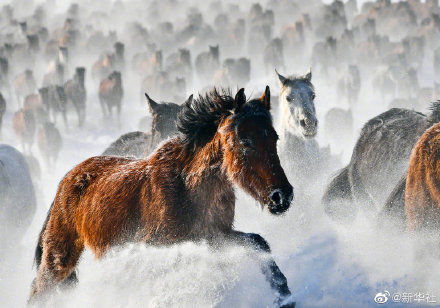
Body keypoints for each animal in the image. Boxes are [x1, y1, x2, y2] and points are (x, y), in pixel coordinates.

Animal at [29, 86, 294, 306]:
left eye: (275, 137)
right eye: (245, 141)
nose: (282, 196)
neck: (187, 186)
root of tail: (67, 179)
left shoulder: (213, 236)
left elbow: (258, 243)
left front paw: (285, 296)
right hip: (59, 257)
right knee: (38, 290)